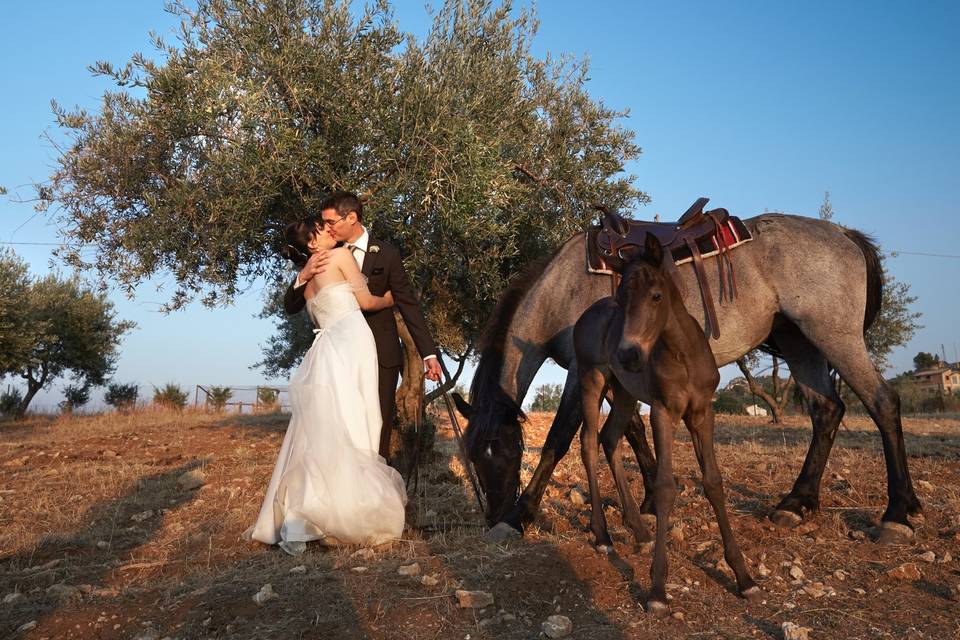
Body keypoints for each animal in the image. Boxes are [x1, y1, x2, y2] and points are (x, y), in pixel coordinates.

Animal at [454, 212, 920, 544]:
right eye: (473, 457)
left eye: (509, 451)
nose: (493, 513)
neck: (564, 289)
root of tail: (843, 233)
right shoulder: (617, 371)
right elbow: (632, 431)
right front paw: (652, 498)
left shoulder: (583, 372)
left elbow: (560, 438)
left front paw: (520, 517)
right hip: (800, 343)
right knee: (827, 411)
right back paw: (796, 502)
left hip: (834, 338)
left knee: (882, 402)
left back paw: (898, 514)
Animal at [568, 234, 756, 616]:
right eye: (621, 300)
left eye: (656, 295)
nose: (627, 355)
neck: (683, 353)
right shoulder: (662, 412)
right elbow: (665, 485)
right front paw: (657, 589)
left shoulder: (702, 413)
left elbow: (713, 482)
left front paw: (744, 577)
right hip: (593, 378)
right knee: (589, 442)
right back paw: (603, 536)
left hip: (624, 393)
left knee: (610, 438)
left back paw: (639, 532)